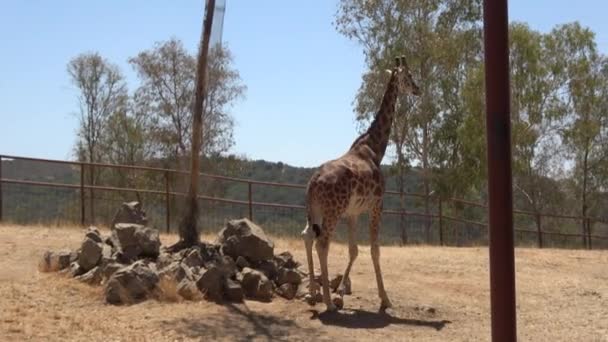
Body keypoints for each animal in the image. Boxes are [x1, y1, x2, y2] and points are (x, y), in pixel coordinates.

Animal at [302, 54, 420, 312]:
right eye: (408, 75)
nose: (418, 89)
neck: (375, 148)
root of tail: (313, 183)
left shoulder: (353, 212)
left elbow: (354, 250)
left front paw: (342, 290)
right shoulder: (377, 205)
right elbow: (374, 250)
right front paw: (384, 299)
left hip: (315, 210)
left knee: (307, 236)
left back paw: (314, 293)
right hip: (332, 211)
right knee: (322, 243)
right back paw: (327, 302)